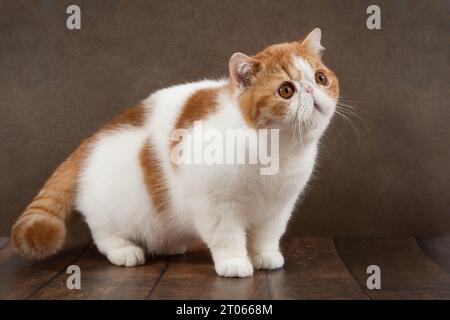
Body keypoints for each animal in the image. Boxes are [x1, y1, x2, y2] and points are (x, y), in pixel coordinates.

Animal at [9, 28, 338, 278]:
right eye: (286, 90)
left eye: (320, 78)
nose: (310, 90)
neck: (278, 151)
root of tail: (91, 139)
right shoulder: (216, 206)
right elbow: (227, 237)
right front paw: (234, 263)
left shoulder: (279, 207)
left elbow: (268, 236)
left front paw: (265, 257)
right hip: (113, 208)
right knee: (102, 231)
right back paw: (123, 250)